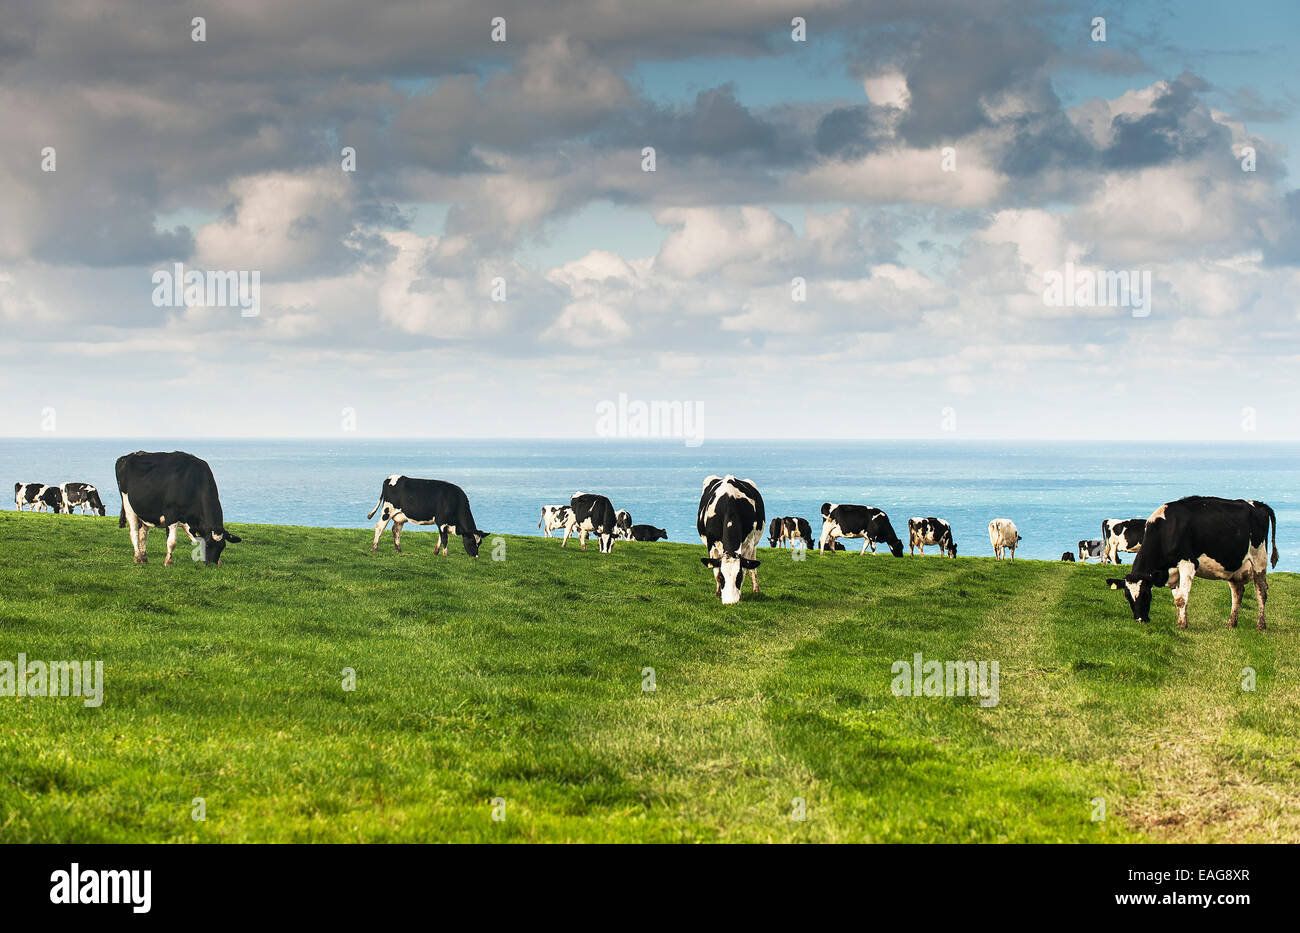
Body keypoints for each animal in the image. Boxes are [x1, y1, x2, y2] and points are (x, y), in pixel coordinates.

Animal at [696, 475, 764, 605]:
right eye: (723, 577)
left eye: (738, 577)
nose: (730, 602)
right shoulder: (711, 544)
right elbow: (716, 571)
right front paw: (718, 594)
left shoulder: (748, 543)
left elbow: (746, 569)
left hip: (754, 544)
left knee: (753, 567)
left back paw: (756, 590)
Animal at [1107, 493, 1279, 631]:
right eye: (1127, 596)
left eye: (1146, 593)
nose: (1140, 620)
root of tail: (1257, 504)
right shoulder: (1172, 572)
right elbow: (1176, 598)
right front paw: (1179, 621)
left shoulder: (1187, 564)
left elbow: (1182, 598)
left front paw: (1183, 625)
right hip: (1233, 566)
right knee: (1237, 592)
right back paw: (1231, 623)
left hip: (1259, 560)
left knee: (1261, 591)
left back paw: (1260, 625)